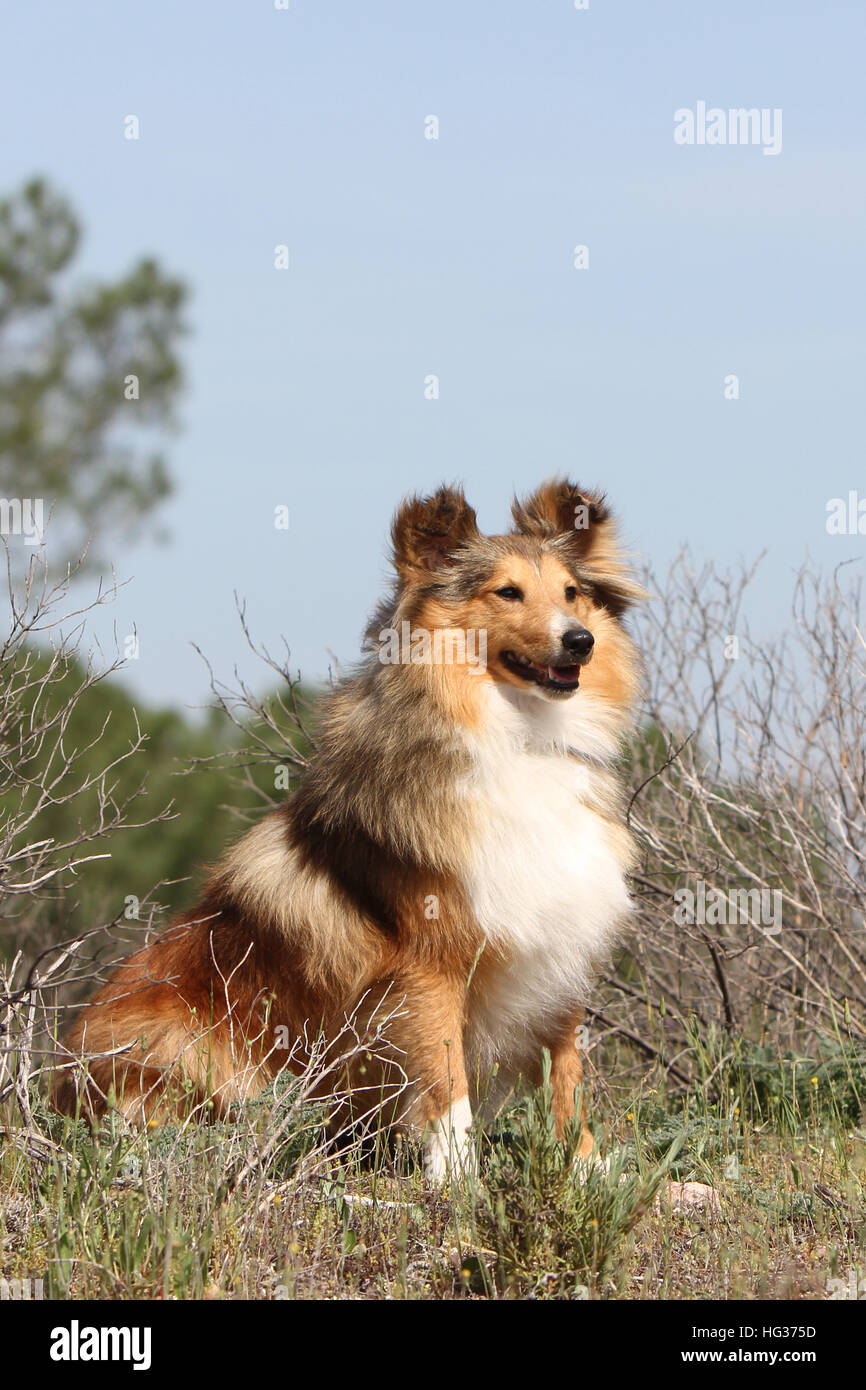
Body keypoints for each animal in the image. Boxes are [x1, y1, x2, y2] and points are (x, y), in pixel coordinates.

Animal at [52, 480, 644, 1184]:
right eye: (507, 592)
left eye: (573, 592)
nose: (579, 642)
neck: (521, 738)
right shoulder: (430, 964)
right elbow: (447, 1084)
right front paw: (459, 1181)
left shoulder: (559, 946)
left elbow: (567, 1076)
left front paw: (589, 1171)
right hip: (178, 1044)